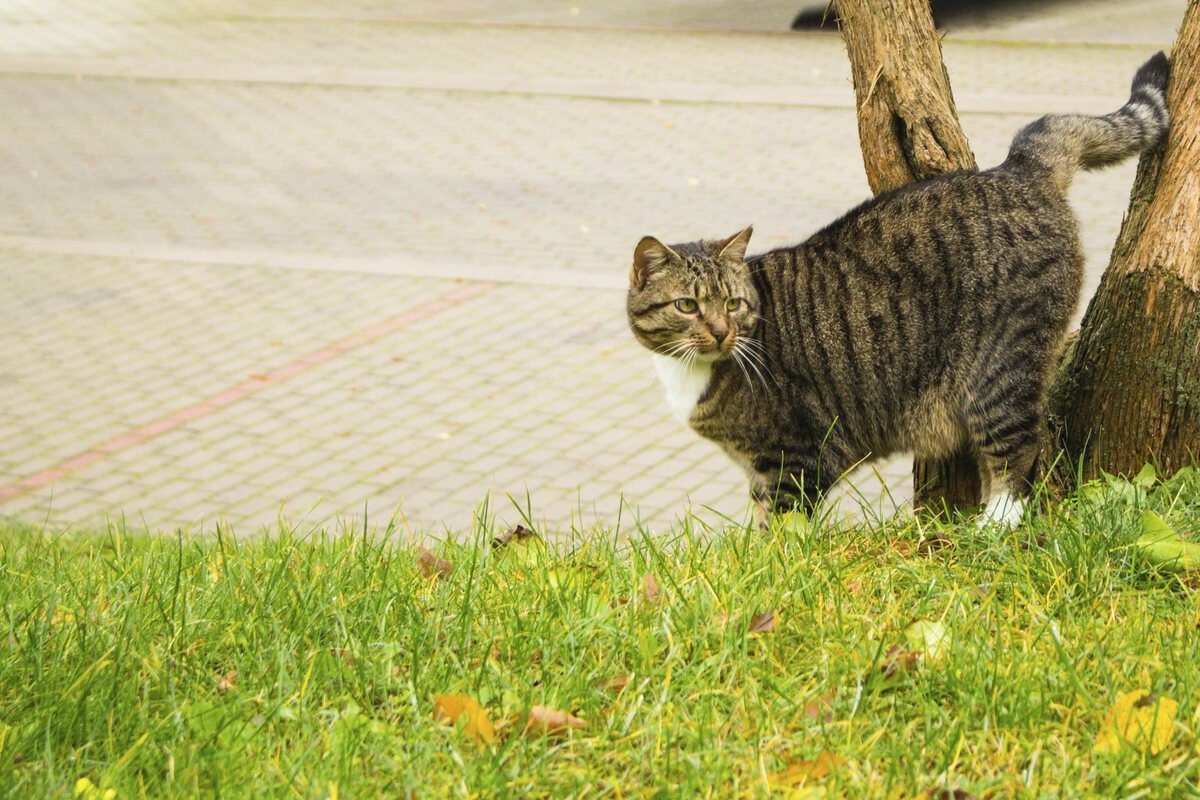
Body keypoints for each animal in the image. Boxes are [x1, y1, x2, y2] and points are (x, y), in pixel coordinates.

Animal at [624, 50, 1166, 525]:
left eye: (733, 304)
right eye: (686, 305)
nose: (720, 332)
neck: (692, 371)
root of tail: (1017, 168)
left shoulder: (796, 458)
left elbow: (781, 530)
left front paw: (776, 565)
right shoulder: (760, 470)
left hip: (999, 366)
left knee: (1016, 448)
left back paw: (994, 524)